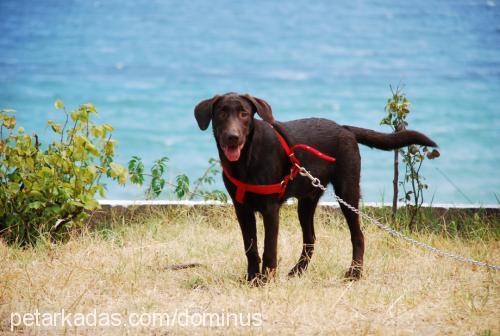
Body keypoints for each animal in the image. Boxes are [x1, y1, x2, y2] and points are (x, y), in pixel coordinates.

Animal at [193, 93, 436, 282]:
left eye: (244, 113)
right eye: (221, 113)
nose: (232, 137)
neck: (246, 159)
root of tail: (345, 128)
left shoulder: (271, 209)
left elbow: (269, 248)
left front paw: (266, 281)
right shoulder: (242, 208)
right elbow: (250, 247)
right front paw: (252, 279)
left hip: (347, 191)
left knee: (358, 236)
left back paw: (354, 273)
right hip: (307, 201)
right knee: (310, 239)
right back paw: (298, 271)